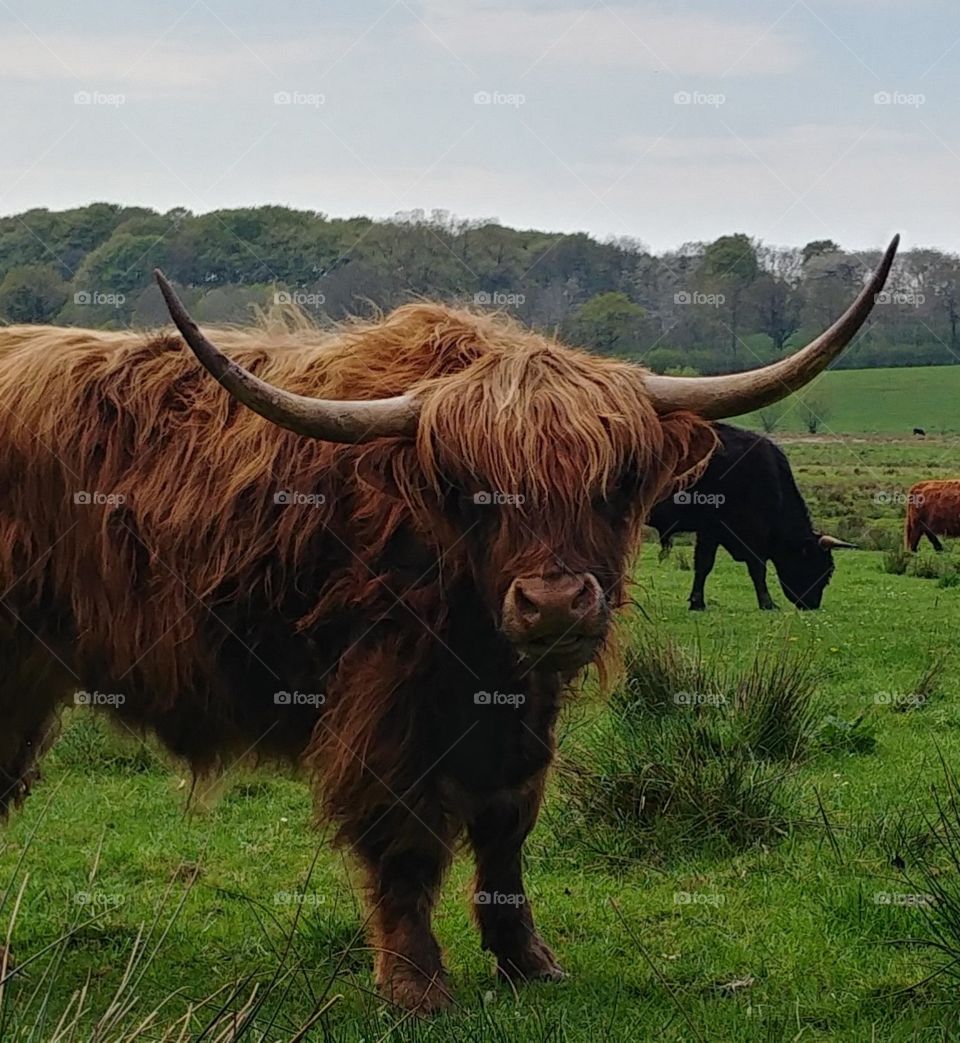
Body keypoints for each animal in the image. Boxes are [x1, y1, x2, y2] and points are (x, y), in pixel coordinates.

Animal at [648, 424, 855, 610]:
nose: (812, 605)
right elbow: (755, 568)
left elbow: (703, 565)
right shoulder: (749, 535)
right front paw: (767, 603)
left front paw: (696, 602)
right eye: (820, 568)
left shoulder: (711, 532)